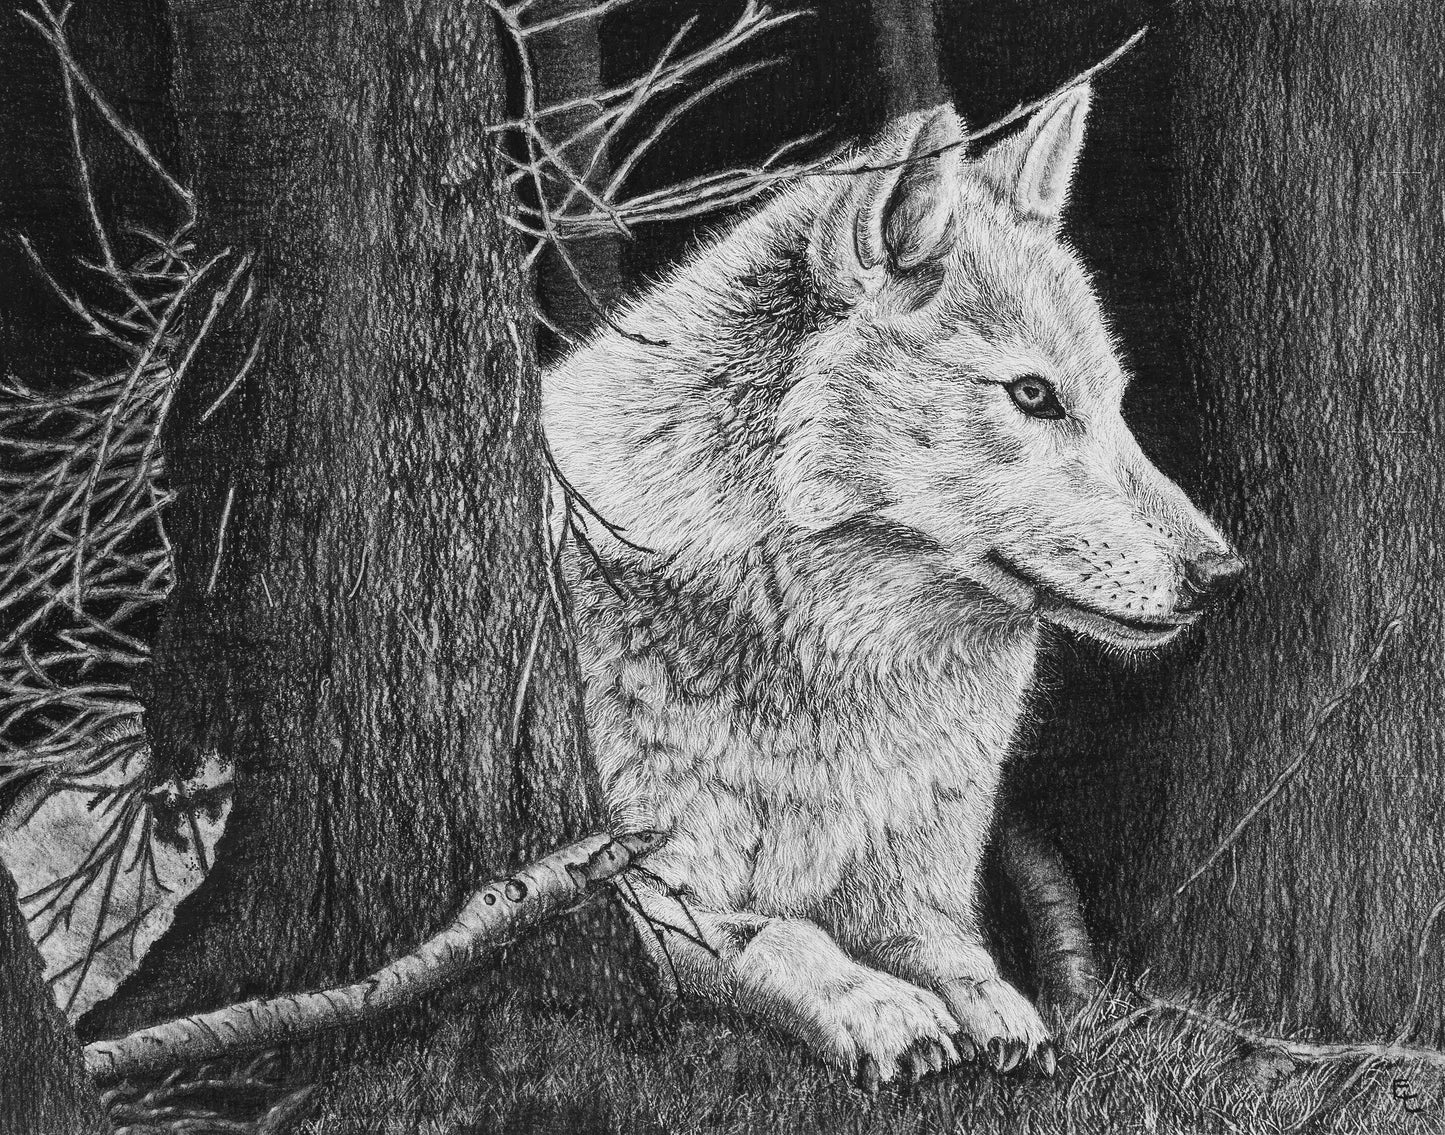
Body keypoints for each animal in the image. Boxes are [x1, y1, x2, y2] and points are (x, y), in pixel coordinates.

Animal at [543, 85, 1243, 1085]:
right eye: (1033, 395)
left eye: (1114, 402)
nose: (1221, 574)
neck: (829, 657)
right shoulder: (639, 886)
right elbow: (779, 935)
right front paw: (883, 1009)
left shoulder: (913, 883)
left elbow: (952, 948)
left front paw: (997, 1010)